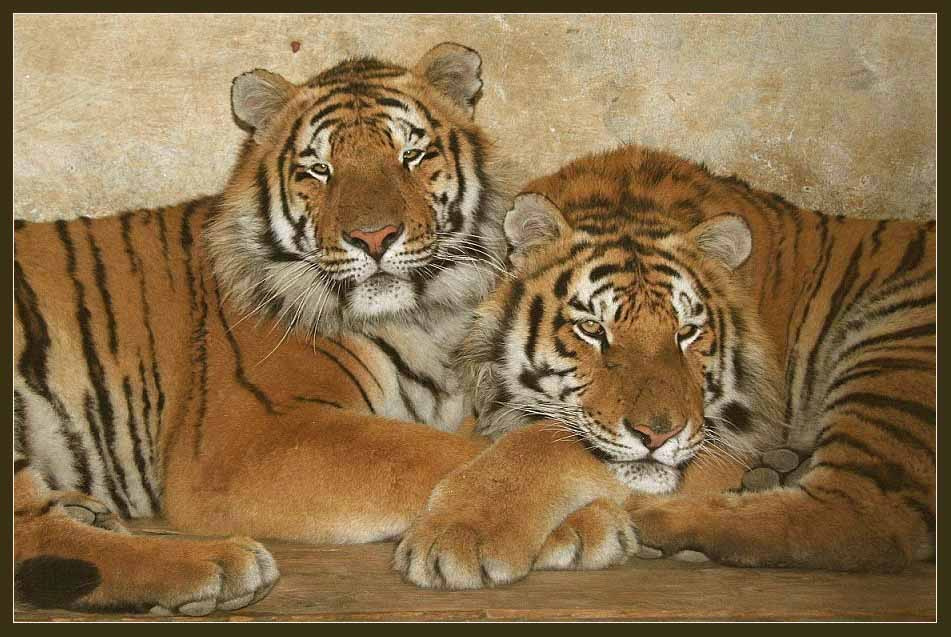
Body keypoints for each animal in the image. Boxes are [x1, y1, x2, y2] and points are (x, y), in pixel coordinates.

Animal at [14, 43, 515, 615]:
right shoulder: (250, 435)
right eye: (319, 169)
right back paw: (217, 567)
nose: (374, 237)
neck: (422, 316)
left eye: (410, 155)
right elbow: (427, 452)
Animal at [394, 143, 935, 588]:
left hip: (894, 335)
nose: (659, 434)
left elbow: (545, 443)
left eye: (686, 332)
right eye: (592, 328)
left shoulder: (727, 431)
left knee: (865, 517)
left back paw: (658, 518)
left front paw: (460, 532)